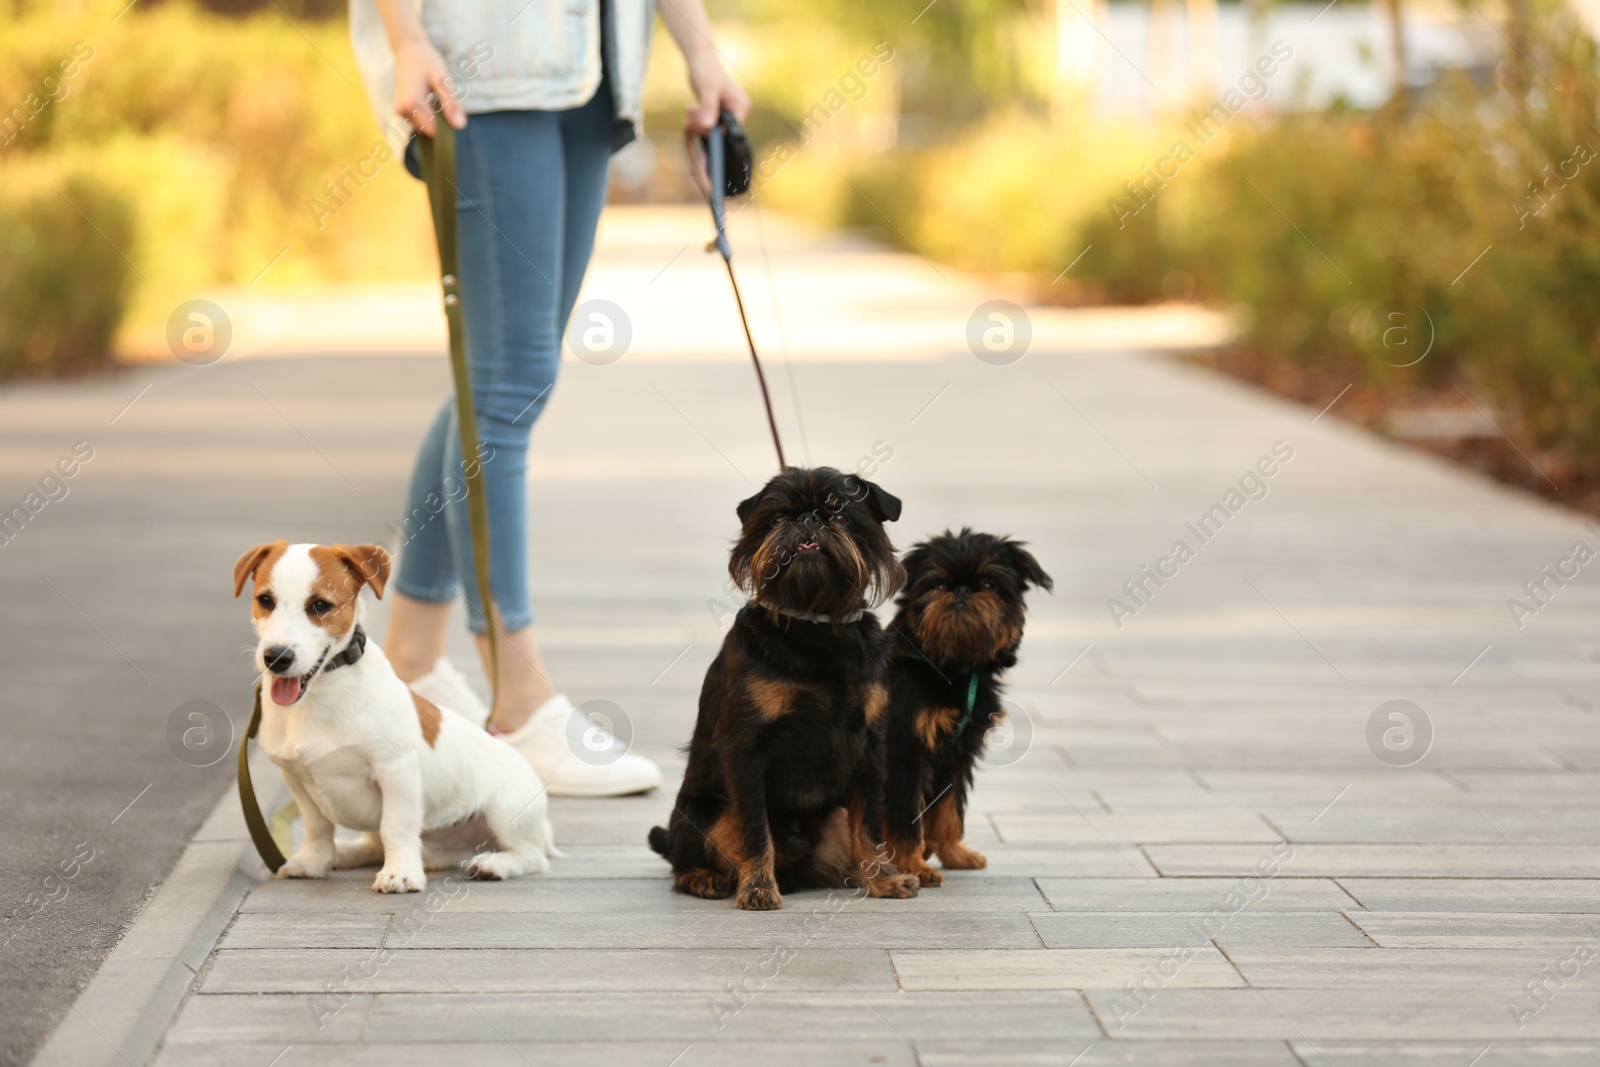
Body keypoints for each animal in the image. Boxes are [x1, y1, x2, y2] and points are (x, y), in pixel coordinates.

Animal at [232, 543, 556, 895]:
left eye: (320, 605)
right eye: (266, 600)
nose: (276, 658)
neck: (320, 695)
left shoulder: (395, 771)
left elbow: (396, 827)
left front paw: (400, 873)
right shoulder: (295, 778)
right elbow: (317, 827)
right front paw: (312, 862)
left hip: (505, 810)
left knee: (532, 856)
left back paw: (493, 865)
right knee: (376, 846)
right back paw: (344, 853)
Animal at [649, 463, 928, 908]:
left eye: (839, 512)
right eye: (779, 517)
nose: (809, 519)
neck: (816, 625)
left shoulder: (870, 748)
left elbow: (869, 826)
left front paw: (883, 879)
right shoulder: (747, 753)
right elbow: (755, 830)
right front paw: (759, 887)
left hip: (834, 815)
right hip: (708, 812)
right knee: (685, 857)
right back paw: (706, 878)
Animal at [883, 531, 1043, 889]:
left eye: (988, 584)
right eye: (938, 585)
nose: (962, 590)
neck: (951, 668)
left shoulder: (956, 755)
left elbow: (949, 809)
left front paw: (953, 852)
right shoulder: (904, 757)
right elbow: (905, 820)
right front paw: (914, 865)